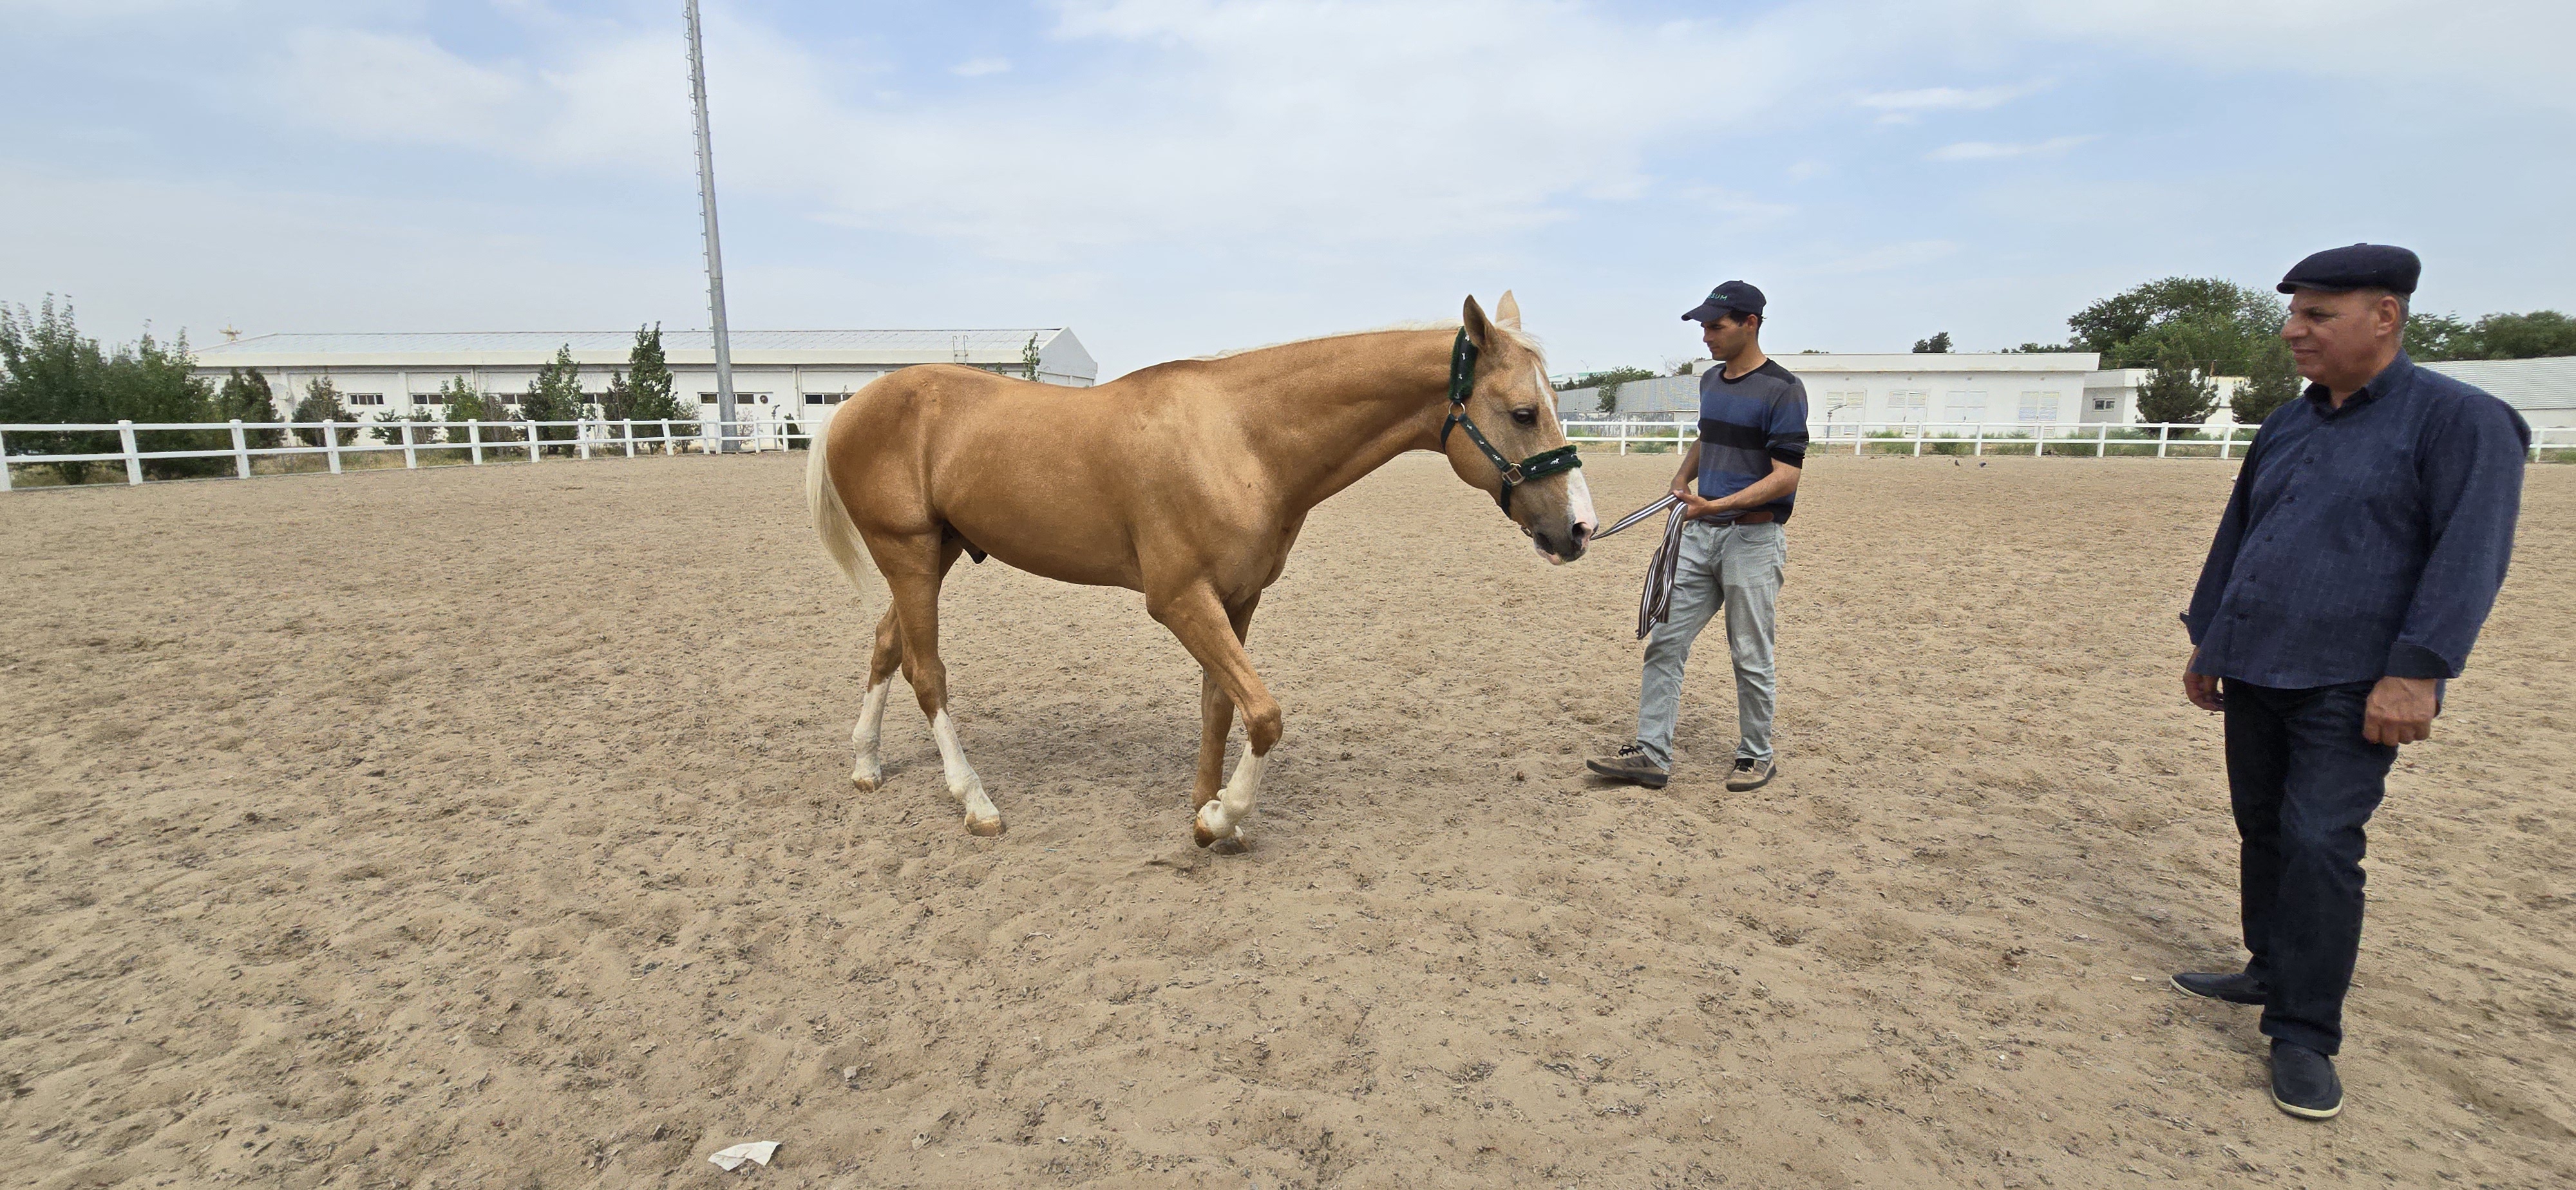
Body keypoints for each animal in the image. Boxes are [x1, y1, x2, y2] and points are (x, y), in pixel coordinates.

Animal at [805, 292, 1596, 849]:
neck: (1242, 438)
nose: (1579, 529)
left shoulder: (1237, 601)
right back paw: (974, 801)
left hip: (935, 555)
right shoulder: (1180, 600)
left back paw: (866, 764)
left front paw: (1208, 806)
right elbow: (1266, 714)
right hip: (909, 554)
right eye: (1523, 413)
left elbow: (1223, 703)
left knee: (887, 647)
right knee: (927, 672)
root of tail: (850, 408)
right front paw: (1220, 819)